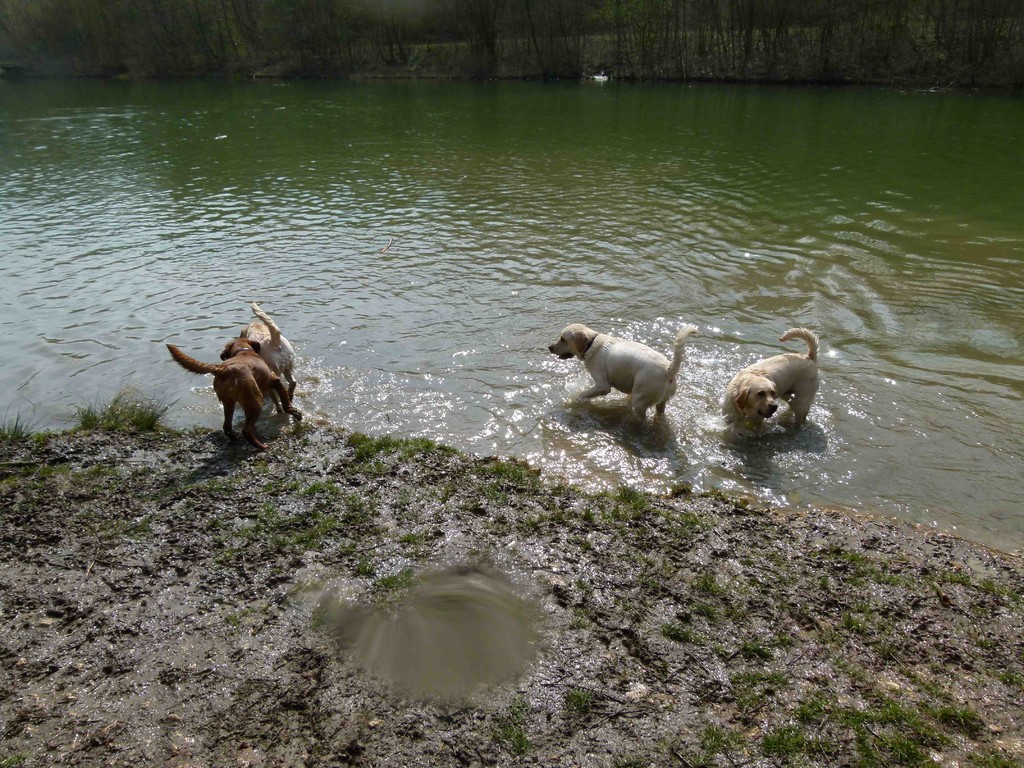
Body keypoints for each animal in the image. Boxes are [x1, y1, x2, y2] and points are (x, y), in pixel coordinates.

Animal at [165, 337, 301, 450]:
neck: (243, 350)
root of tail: (223, 369)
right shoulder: (275, 381)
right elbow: (285, 402)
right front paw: (295, 413)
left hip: (229, 402)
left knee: (227, 426)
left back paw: (236, 439)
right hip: (256, 401)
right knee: (246, 430)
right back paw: (261, 446)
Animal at [548, 325, 700, 421]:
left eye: (563, 339)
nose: (549, 347)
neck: (591, 344)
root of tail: (668, 369)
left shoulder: (602, 386)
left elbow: (582, 394)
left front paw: (577, 401)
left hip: (640, 401)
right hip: (660, 402)